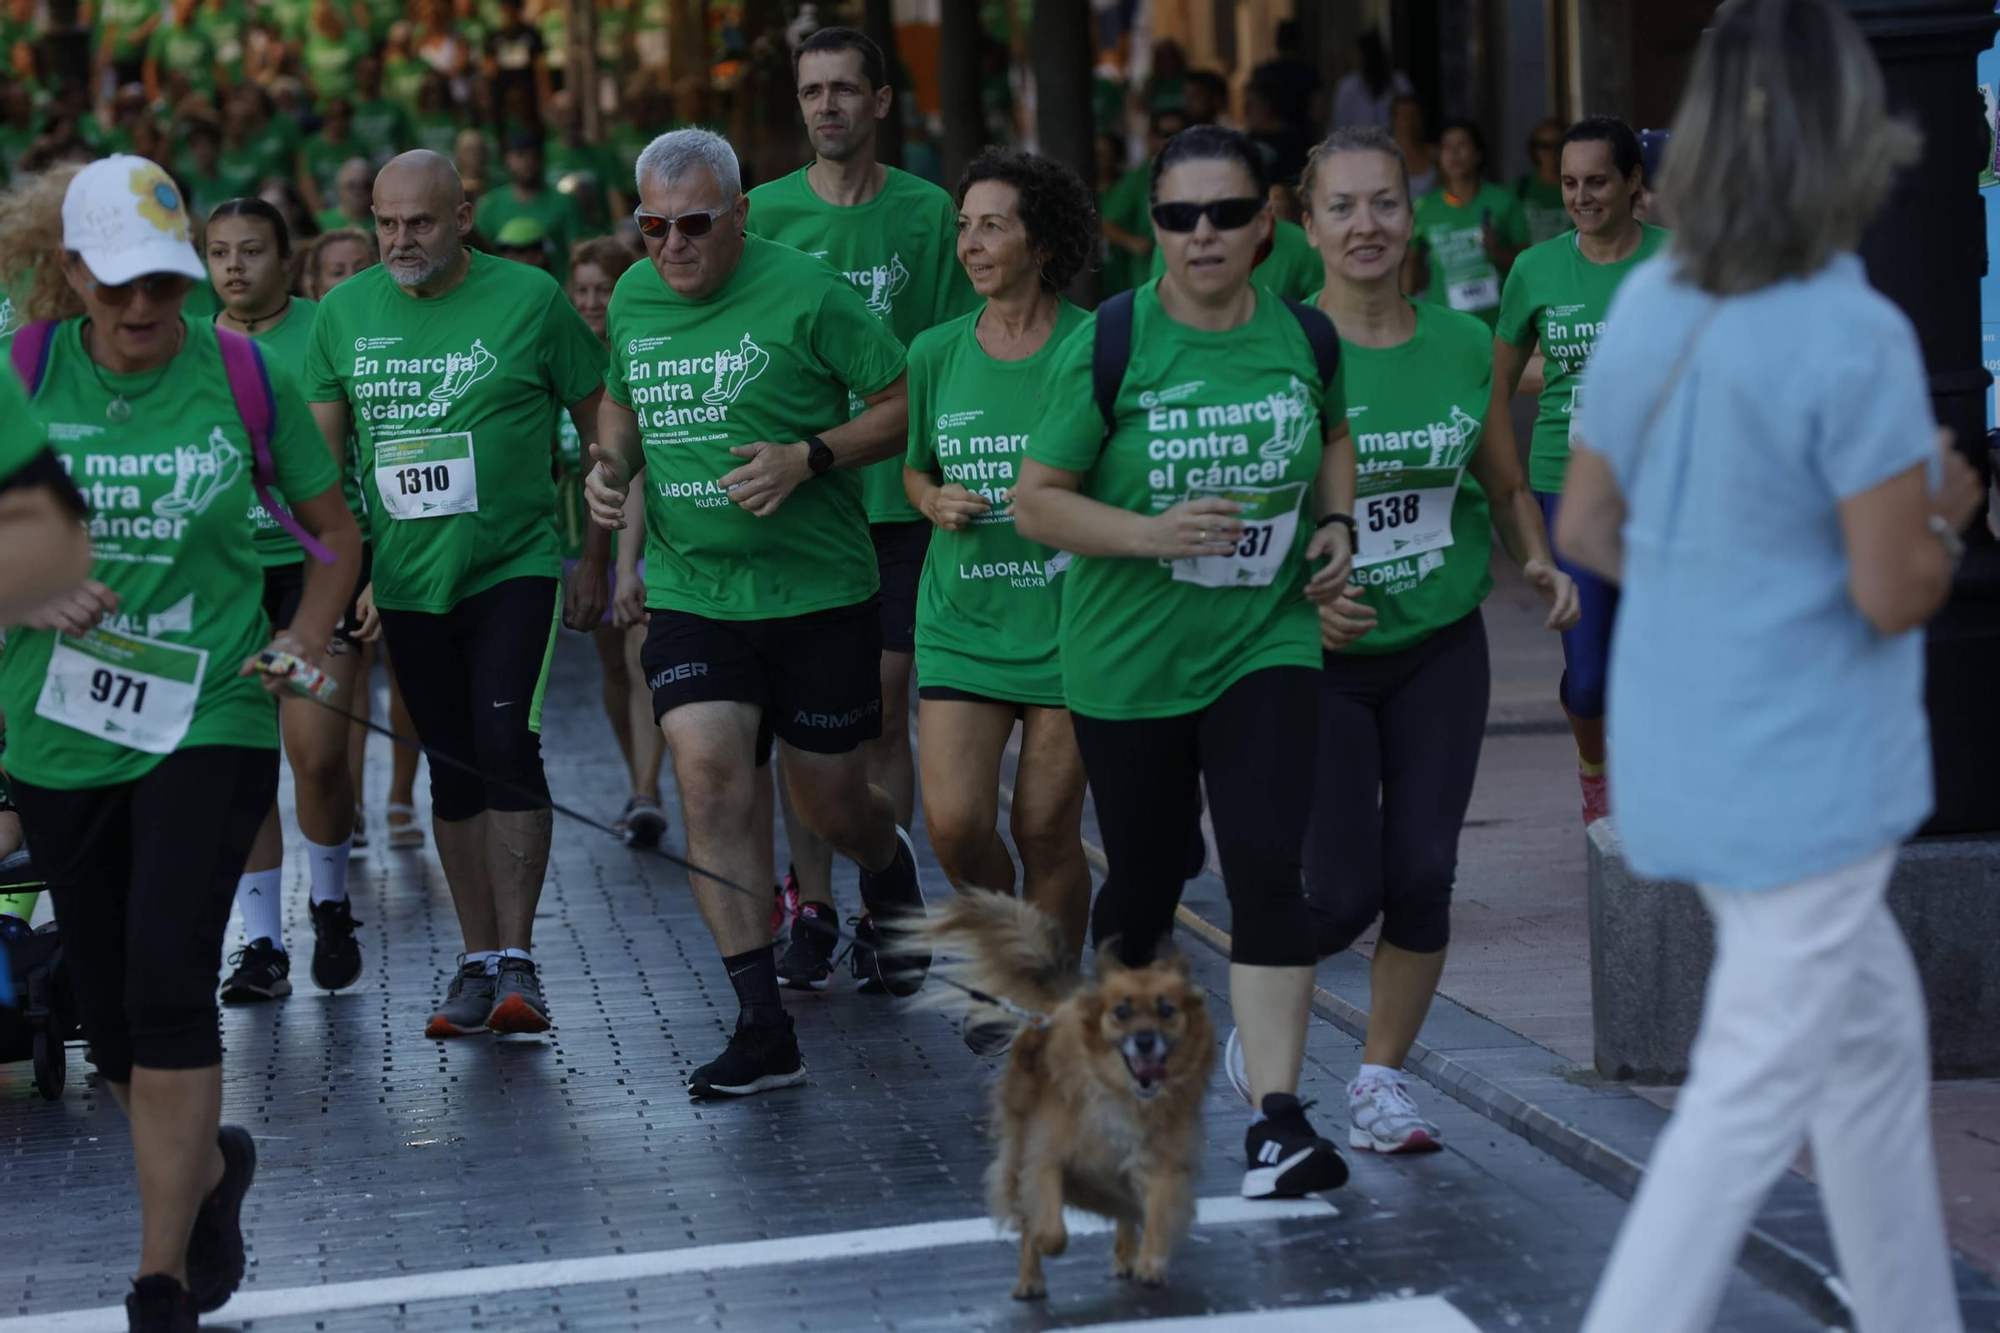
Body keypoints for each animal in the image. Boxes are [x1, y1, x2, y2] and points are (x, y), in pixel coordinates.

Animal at [904, 888, 1208, 1288]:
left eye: (1167, 1011)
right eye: (1121, 1012)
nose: (1145, 1041)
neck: (1121, 1094)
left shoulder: (1161, 1162)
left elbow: (1156, 1212)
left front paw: (1150, 1263)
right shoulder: (1046, 1156)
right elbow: (1047, 1226)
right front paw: (1045, 1243)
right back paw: (1029, 1283)